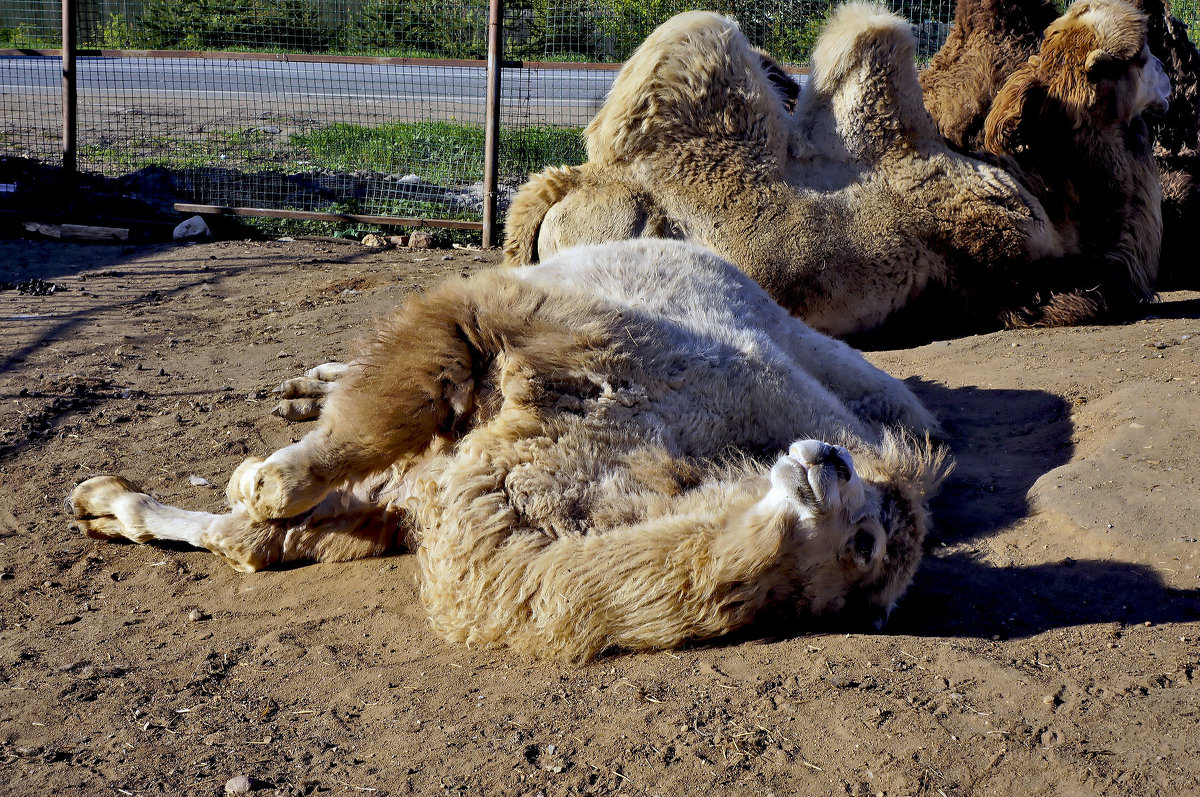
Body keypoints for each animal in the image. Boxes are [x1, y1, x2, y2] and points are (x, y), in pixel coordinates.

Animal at [70, 240, 950, 662]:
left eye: (866, 542)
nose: (830, 461)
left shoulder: (430, 493)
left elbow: (248, 539)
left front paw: (106, 502)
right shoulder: (511, 327)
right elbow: (346, 438)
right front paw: (260, 471)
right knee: (361, 376)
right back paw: (297, 394)